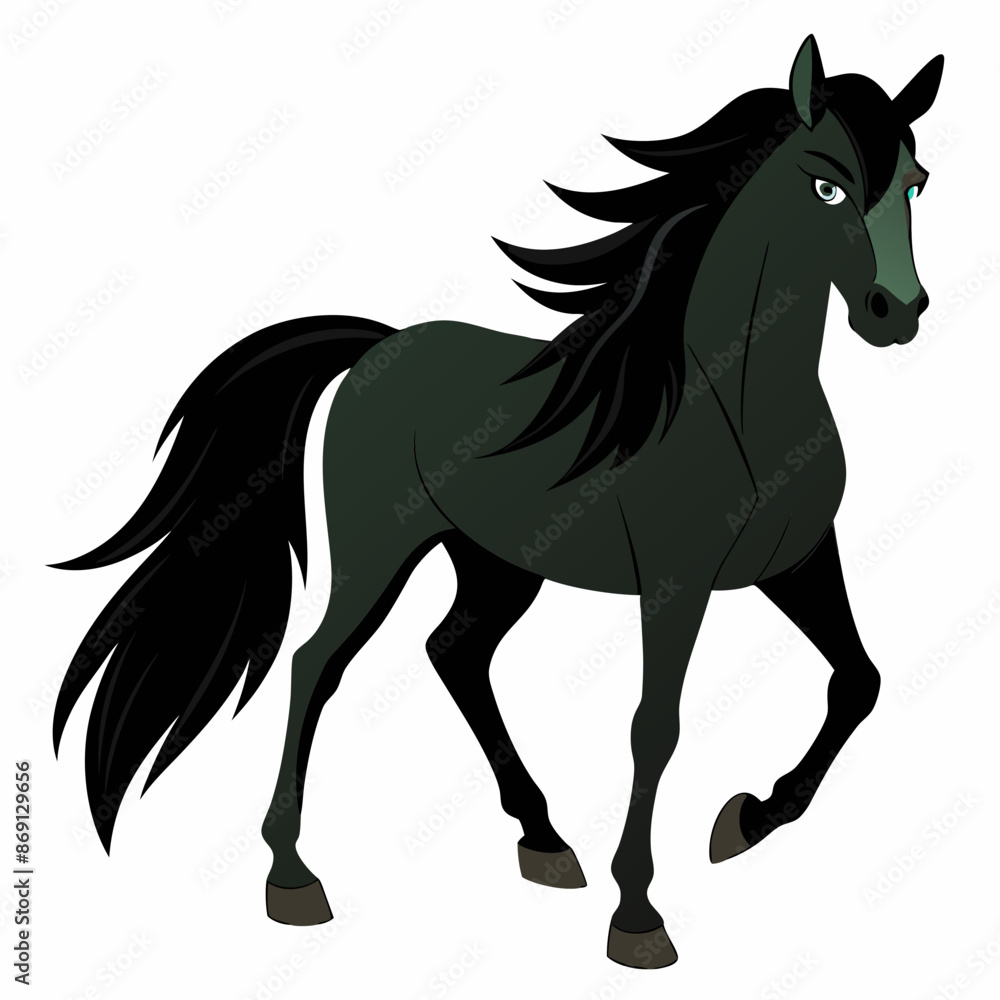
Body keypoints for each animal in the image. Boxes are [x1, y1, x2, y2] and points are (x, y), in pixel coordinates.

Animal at [52, 36, 944, 968]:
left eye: (917, 182)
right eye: (827, 186)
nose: (896, 312)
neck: (731, 399)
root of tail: (377, 351)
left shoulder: (799, 563)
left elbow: (860, 681)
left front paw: (747, 819)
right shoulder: (676, 583)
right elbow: (654, 727)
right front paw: (639, 917)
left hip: (497, 563)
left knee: (455, 652)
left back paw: (542, 840)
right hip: (380, 555)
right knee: (316, 663)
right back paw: (292, 878)